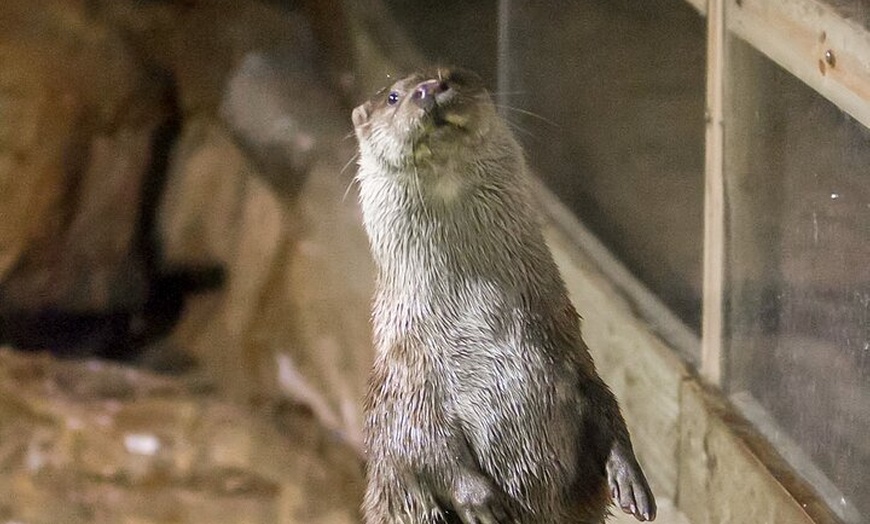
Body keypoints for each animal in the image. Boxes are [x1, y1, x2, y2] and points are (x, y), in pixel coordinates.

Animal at [350, 67, 656, 520]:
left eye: (451, 75)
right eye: (392, 97)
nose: (429, 89)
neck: (477, 322)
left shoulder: (568, 346)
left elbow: (604, 404)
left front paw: (629, 476)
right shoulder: (406, 378)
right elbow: (419, 443)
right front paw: (480, 500)